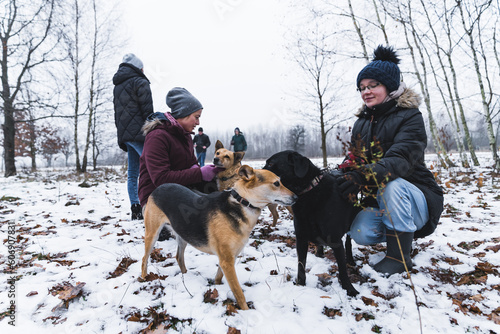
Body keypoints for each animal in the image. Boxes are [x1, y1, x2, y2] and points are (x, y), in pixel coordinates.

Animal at [140, 166, 296, 310]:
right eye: (276, 183)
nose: (297, 198)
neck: (242, 202)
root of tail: (159, 187)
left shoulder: (229, 257)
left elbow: (219, 276)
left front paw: (216, 287)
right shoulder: (227, 260)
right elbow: (238, 292)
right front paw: (246, 312)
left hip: (183, 234)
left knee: (179, 256)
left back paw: (186, 276)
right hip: (152, 233)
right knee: (144, 258)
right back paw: (143, 278)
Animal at [264, 150, 358, 296]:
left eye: (270, 163)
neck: (308, 192)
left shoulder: (336, 241)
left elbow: (342, 268)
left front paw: (349, 289)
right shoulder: (301, 238)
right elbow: (301, 265)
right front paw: (300, 284)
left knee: (348, 242)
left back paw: (351, 260)